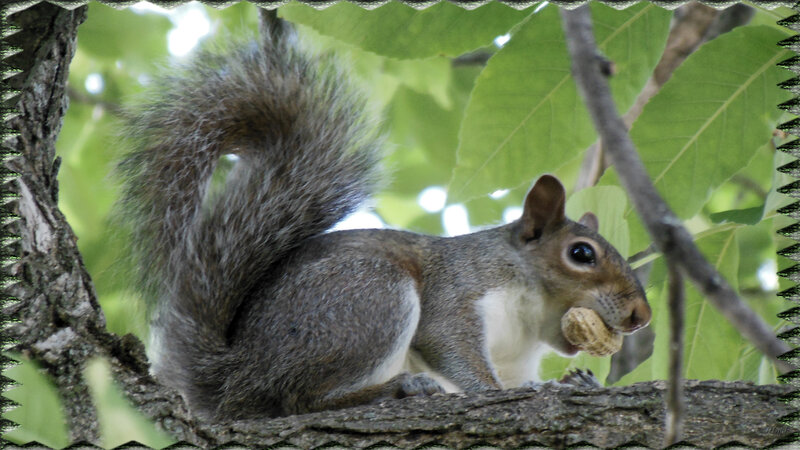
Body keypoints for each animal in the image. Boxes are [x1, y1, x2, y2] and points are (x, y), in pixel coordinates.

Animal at [115, 23, 651, 422]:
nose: (640, 316)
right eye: (581, 254)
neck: (531, 318)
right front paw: (492, 392)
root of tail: (235, 378)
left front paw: (576, 382)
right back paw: (396, 389)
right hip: (370, 299)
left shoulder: (516, 360)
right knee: (299, 399)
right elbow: (448, 343)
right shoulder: (460, 290)